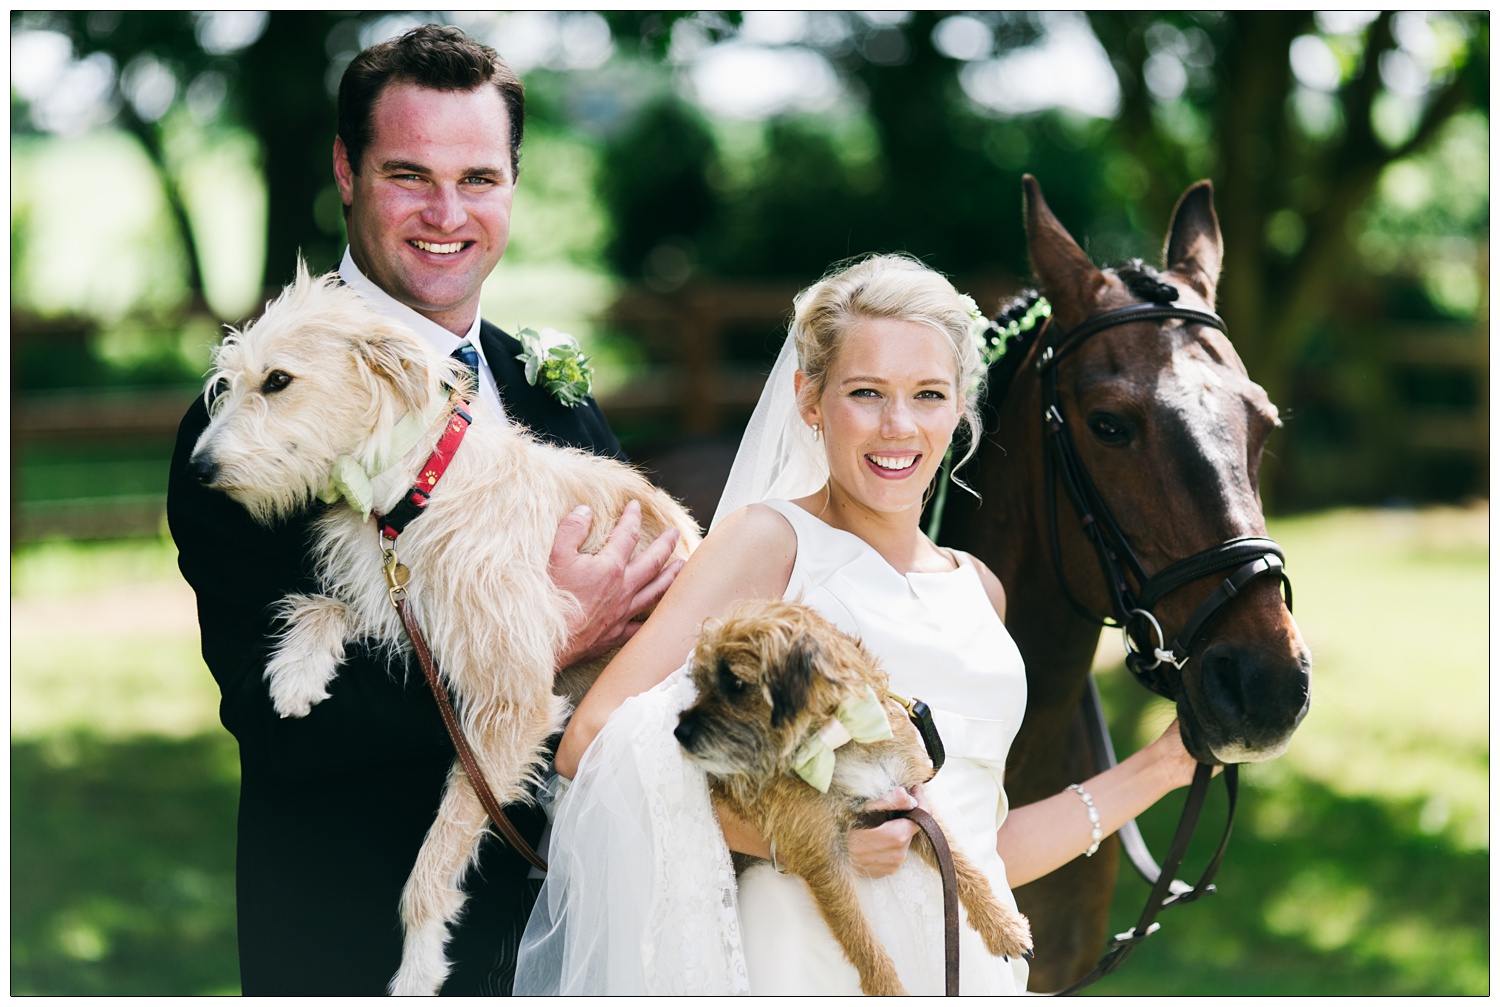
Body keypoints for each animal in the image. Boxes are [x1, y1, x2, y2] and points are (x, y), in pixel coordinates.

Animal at [190, 264, 699, 996]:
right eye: (227, 383)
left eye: (278, 380)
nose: (197, 471)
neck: (416, 487)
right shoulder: (395, 595)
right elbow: (329, 604)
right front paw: (296, 671)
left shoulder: (509, 704)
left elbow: (435, 858)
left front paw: (418, 964)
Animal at [672, 594, 1032, 996]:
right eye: (702, 683)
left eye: (734, 683)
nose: (679, 732)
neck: (839, 740)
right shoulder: (822, 855)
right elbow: (858, 935)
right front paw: (888, 989)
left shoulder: (909, 805)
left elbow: (961, 865)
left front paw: (1002, 927)